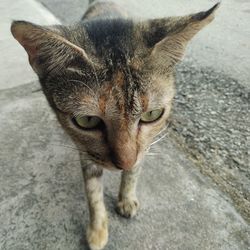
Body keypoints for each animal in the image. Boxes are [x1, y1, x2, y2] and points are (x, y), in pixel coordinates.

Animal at [11, 0, 219, 249]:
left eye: (152, 115)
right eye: (87, 120)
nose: (124, 163)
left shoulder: (144, 147)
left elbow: (134, 172)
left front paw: (126, 198)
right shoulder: (86, 151)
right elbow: (93, 192)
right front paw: (97, 229)